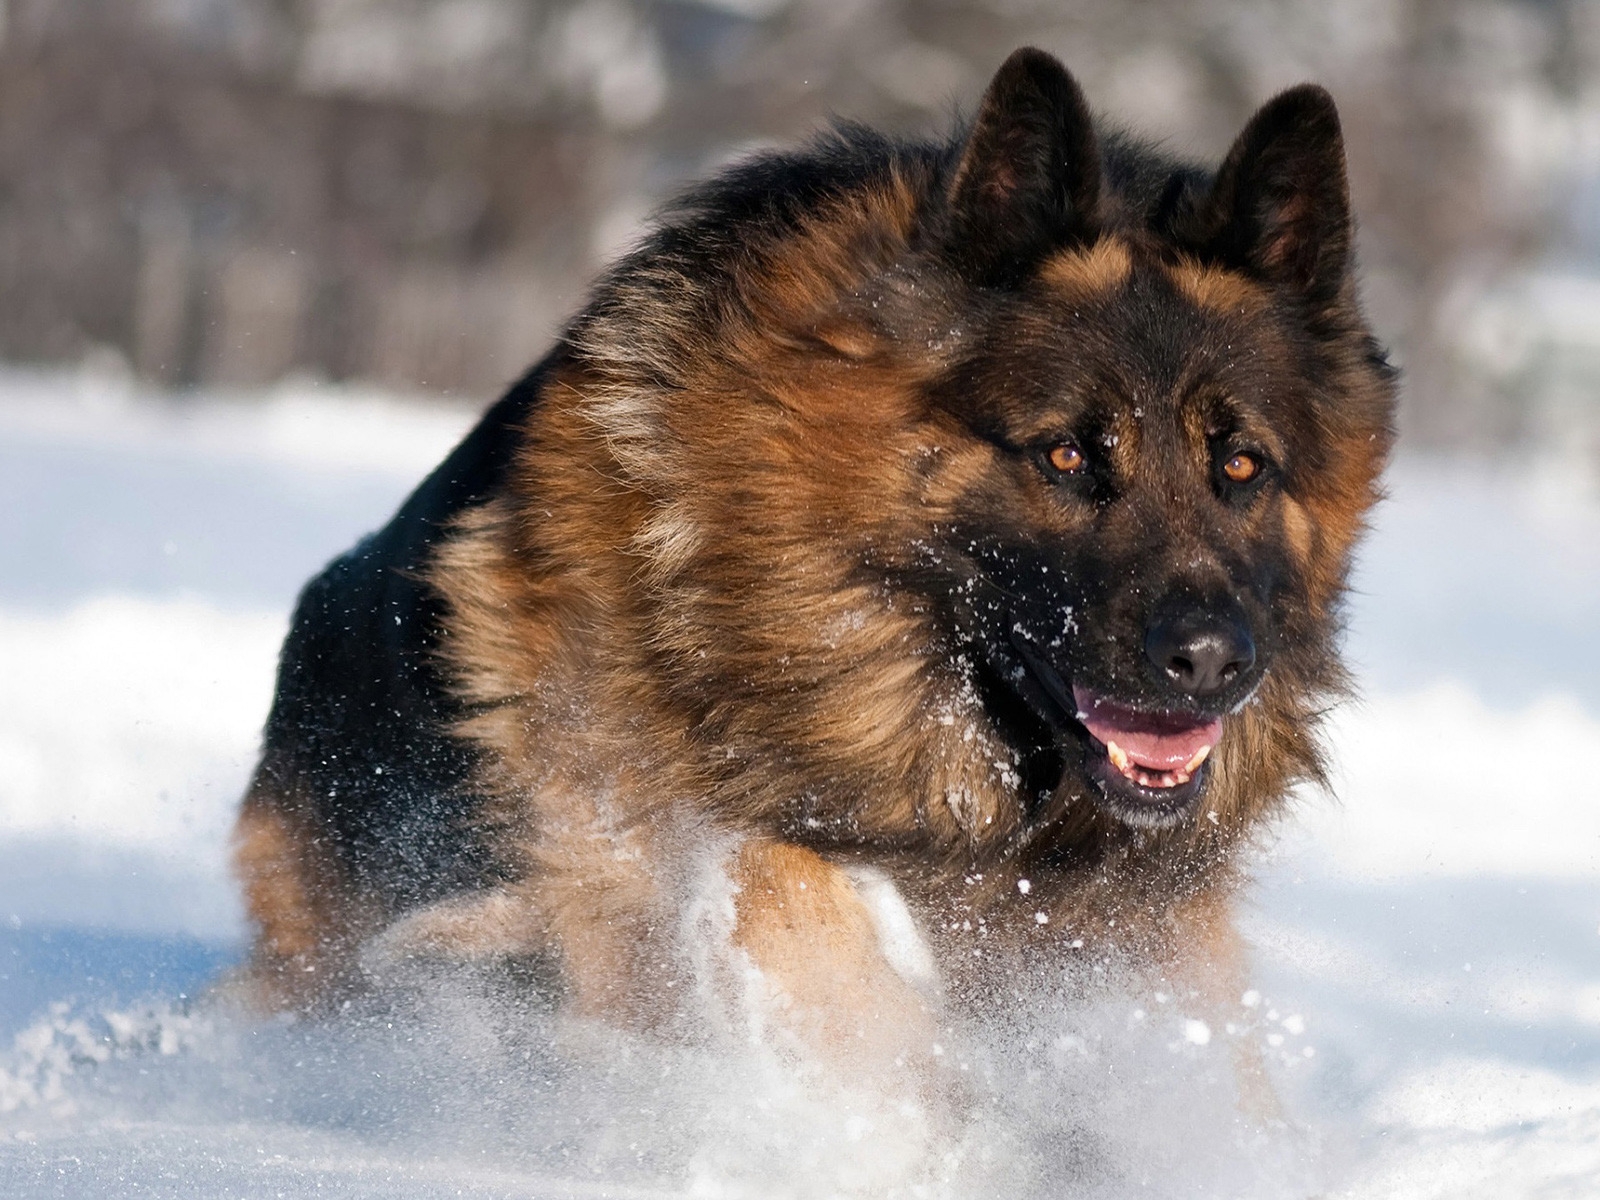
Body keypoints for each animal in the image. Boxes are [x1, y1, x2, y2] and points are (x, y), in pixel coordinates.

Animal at [232, 49, 1395, 1100]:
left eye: (1240, 465)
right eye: (1066, 455)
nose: (1211, 664)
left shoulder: (1144, 936)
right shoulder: (630, 845)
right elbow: (788, 893)